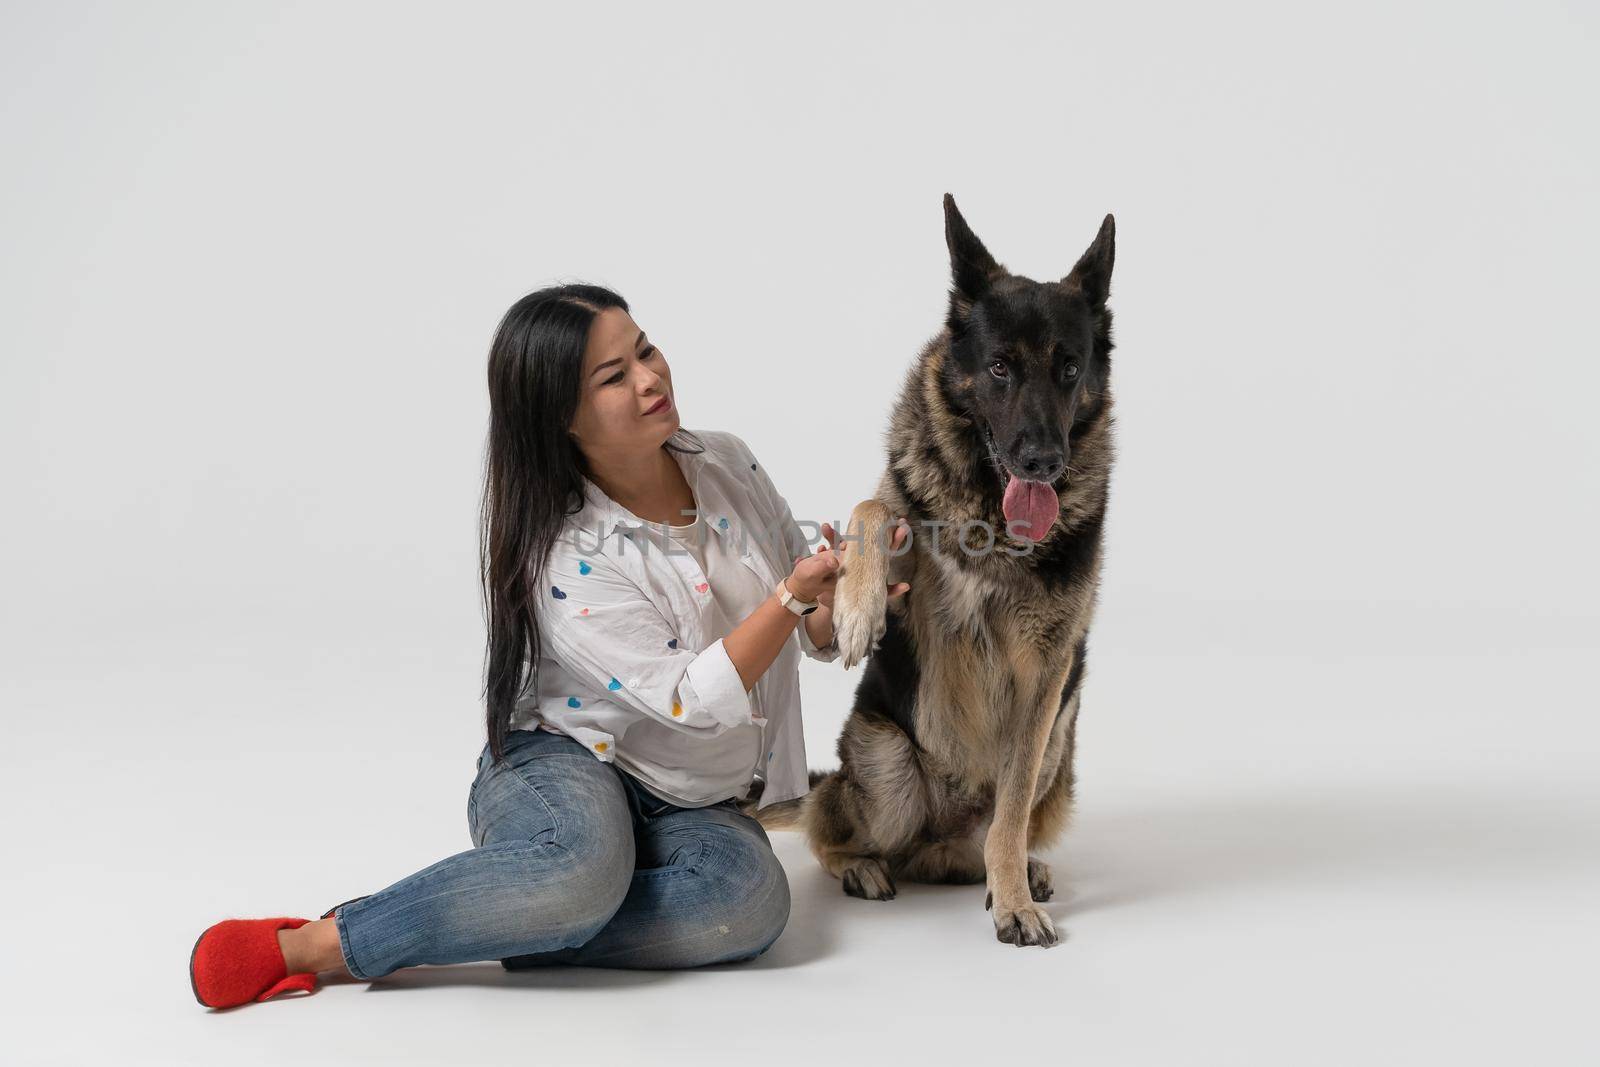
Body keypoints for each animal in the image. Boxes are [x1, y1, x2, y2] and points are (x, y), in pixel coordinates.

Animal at [742, 195, 1120, 947]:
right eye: (1000, 368)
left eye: (1069, 369)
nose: (1043, 462)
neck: (991, 521)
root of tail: (941, 836)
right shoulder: (905, 557)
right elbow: (870, 507)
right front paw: (857, 611)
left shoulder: (1046, 679)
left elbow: (1009, 815)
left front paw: (1013, 900)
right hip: (886, 764)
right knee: (835, 824)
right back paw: (862, 865)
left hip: (1056, 753)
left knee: (992, 833)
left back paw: (1017, 869)